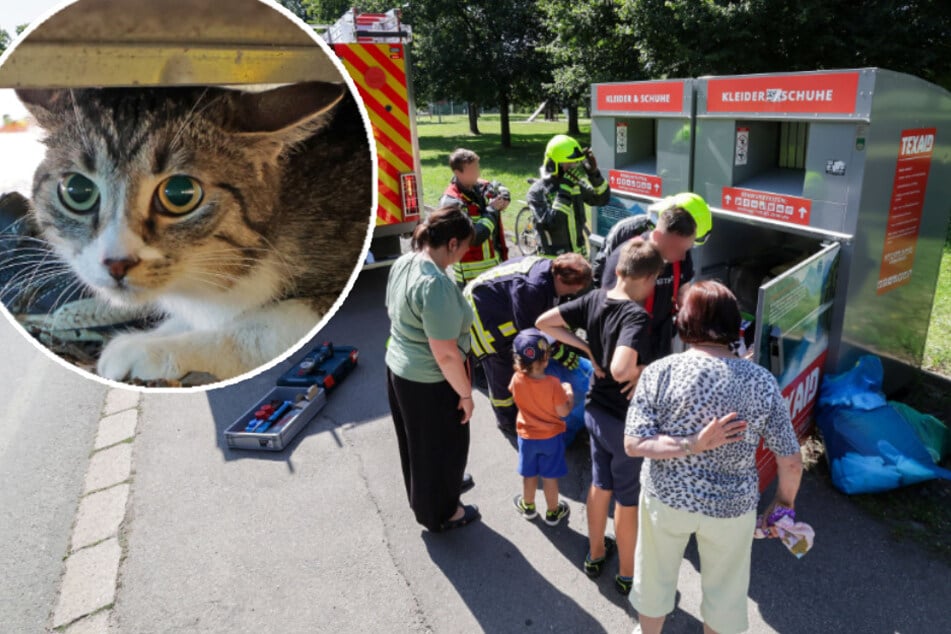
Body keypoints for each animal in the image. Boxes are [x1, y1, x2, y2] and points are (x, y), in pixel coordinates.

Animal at [15, 81, 372, 382]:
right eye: (77, 191)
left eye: (180, 194)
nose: (116, 263)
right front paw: (153, 335)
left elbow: (263, 328)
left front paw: (148, 350)